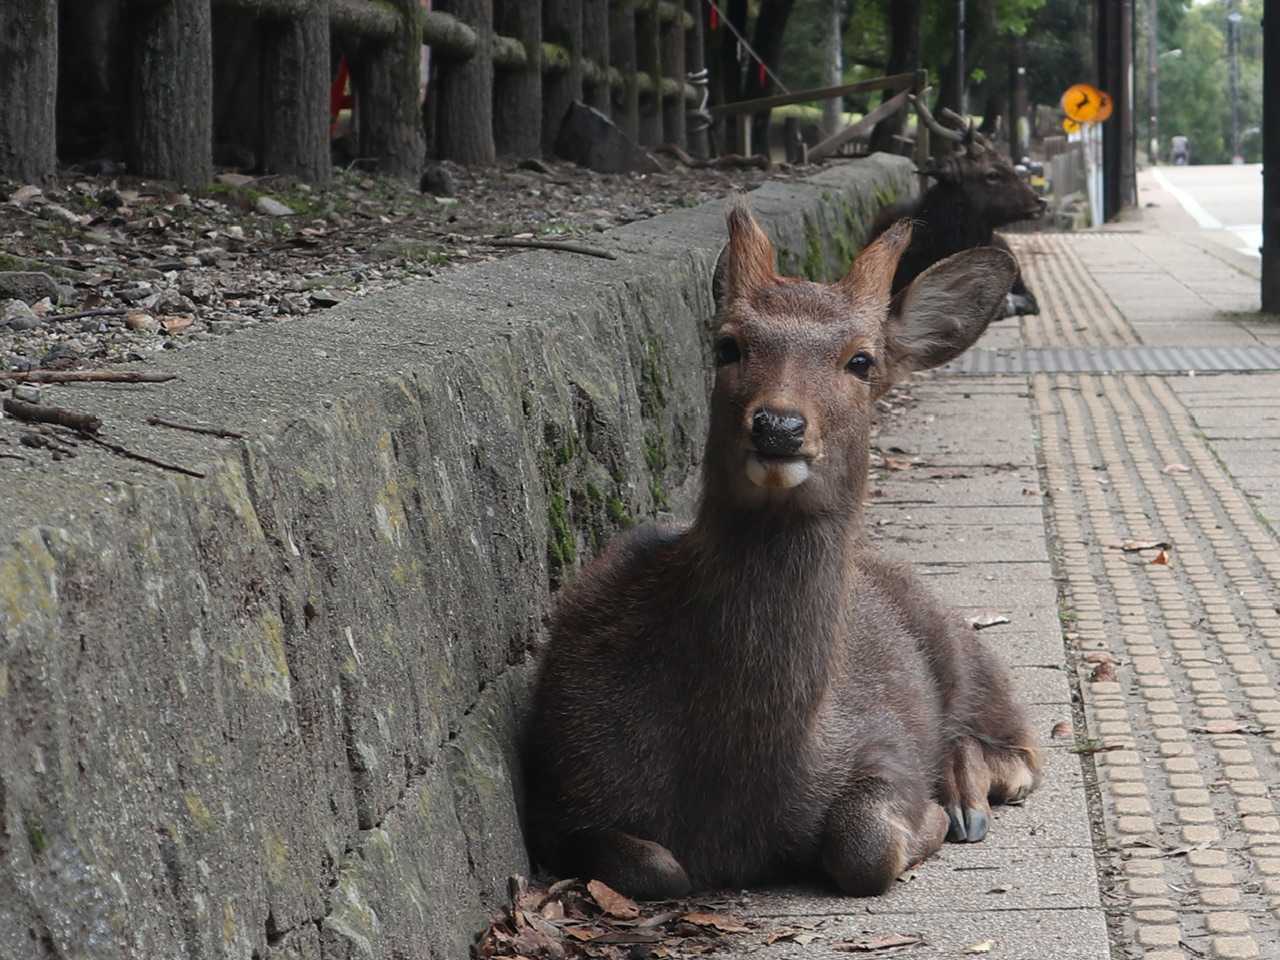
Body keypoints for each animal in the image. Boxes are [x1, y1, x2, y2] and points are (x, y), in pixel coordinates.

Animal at [523, 199, 1041, 901]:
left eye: (862, 360)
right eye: (728, 344)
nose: (778, 426)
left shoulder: (887, 741)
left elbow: (866, 843)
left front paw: (932, 817)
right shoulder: (563, 782)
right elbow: (657, 867)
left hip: (961, 644)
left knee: (1020, 742)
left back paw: (966, 793)